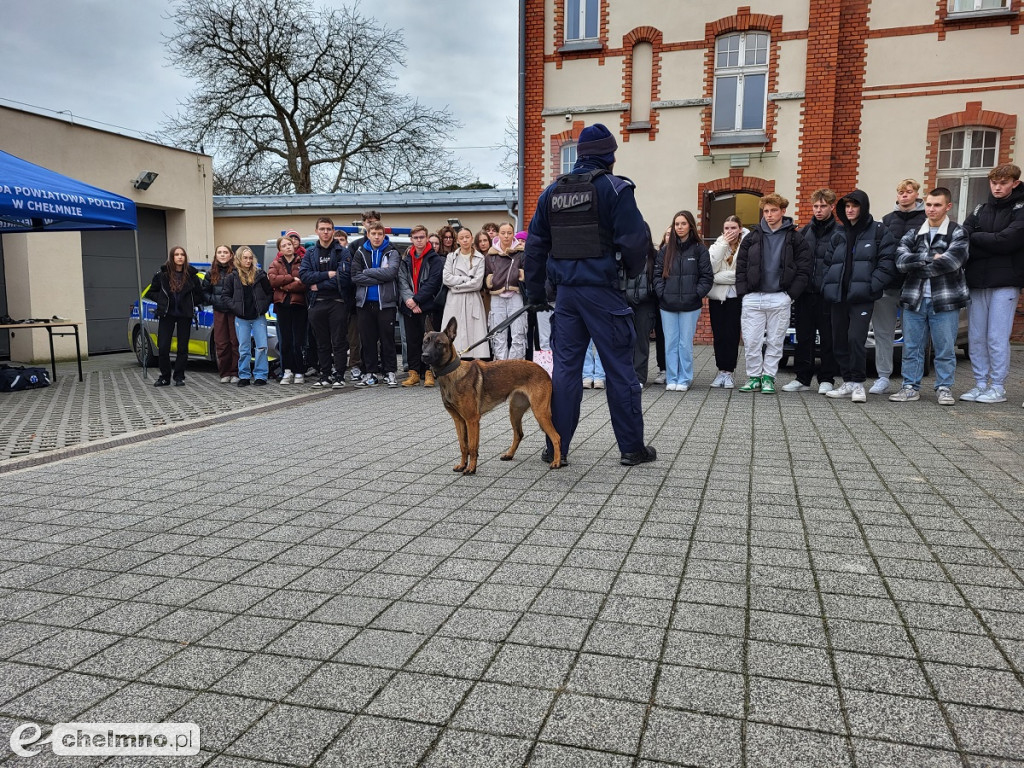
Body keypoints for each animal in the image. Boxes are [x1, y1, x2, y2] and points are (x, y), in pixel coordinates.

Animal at [421, 317, 565, 475]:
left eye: (439, 343)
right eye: (425, 342)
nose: (424, 356)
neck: (452, 373)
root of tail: (543, 370)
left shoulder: (472, 420)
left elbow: (472, 446)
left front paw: (471, 468)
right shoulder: (458, 420)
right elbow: (463, 446)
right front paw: (462, 465)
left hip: (540, 412)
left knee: (556, 436)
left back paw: (556, 462)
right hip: (515, 411)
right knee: (519, 434)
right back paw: (509, 454)